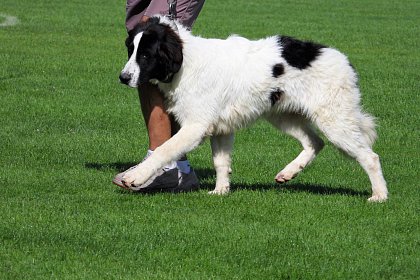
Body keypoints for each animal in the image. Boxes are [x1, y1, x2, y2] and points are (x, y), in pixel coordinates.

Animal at [117, 15, 388, 201]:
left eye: (146, 56)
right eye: (131, 50)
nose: (123, 77)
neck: (186, 61)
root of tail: (344, 62)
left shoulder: (196, 126)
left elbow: (164, 149)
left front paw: (135, 177)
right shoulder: (221, 128)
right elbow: (221, 162)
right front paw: (221, 191)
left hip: (334, 121)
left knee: (370, 156)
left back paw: (380, 195)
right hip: (284, 115)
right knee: (315, 142)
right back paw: (289, 172)